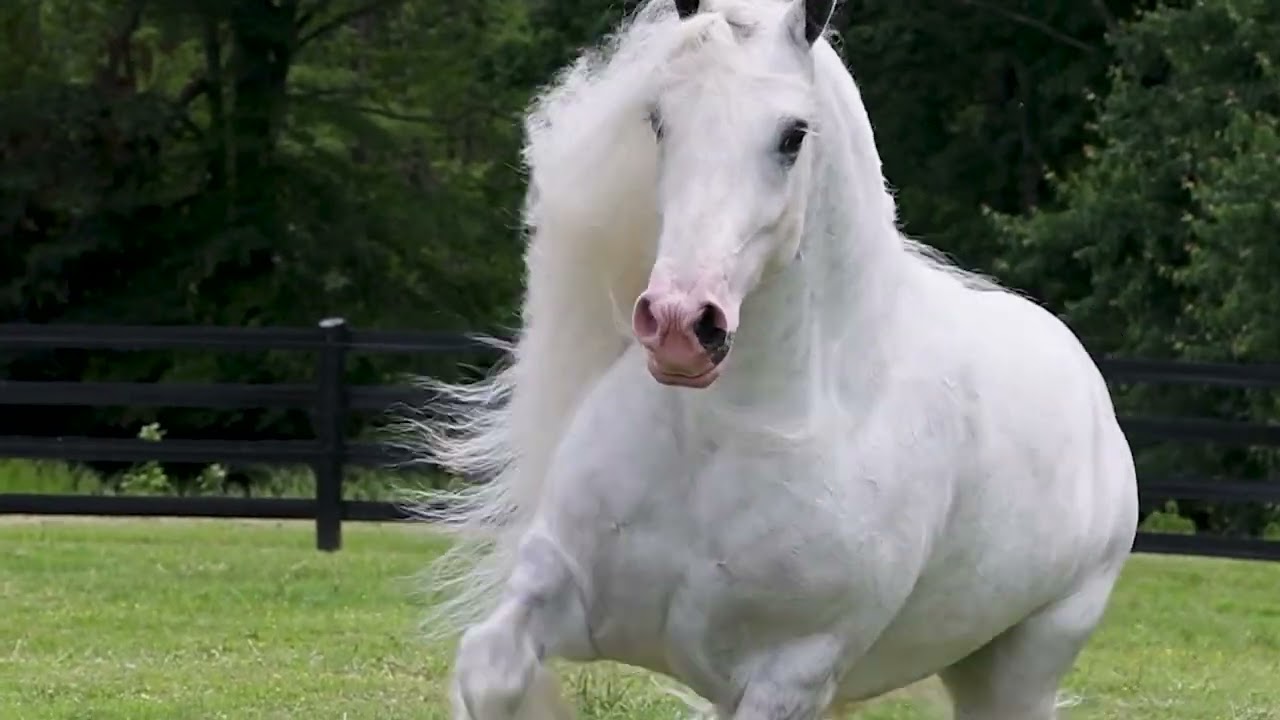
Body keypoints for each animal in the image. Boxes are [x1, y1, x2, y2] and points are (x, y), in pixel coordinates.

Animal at [410, 0, 1140, 718]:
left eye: (793, 135)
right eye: (659, 119)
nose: (680, 325)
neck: (723, 436)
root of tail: (1087, 385)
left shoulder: (790, 675)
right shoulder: (553, 587)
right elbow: (492, 671)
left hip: (1019, 665)